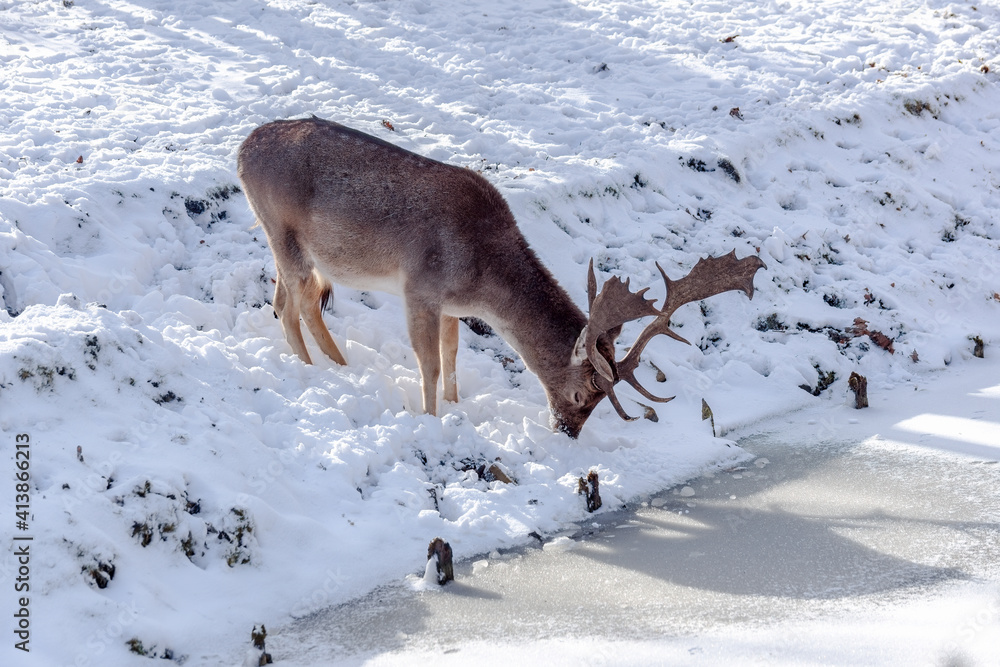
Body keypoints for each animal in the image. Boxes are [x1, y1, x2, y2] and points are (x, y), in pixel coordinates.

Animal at [237, 117, 766, 438]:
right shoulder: (420, 288)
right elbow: (429, 363)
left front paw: (455, 406)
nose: (567, 432)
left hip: (289, 245)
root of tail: (240, 151)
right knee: (294, 303)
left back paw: (335, 367)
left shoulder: (450, 305)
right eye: (580, 394)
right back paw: (318, 370)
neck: (480, 279)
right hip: (283, 231)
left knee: (289, 299)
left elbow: (452, 354)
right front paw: (431, 418)